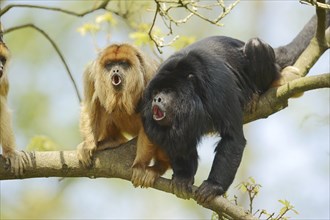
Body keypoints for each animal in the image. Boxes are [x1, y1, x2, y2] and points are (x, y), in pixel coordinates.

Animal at [139, 13, 328, 203]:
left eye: (168, 91)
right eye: (155, 91)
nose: (156, 99)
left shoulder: (218, 85)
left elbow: (233, 138)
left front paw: (213, 186)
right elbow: (178, 144)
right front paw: (183, 177)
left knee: (255, 45)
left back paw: (255, 92)